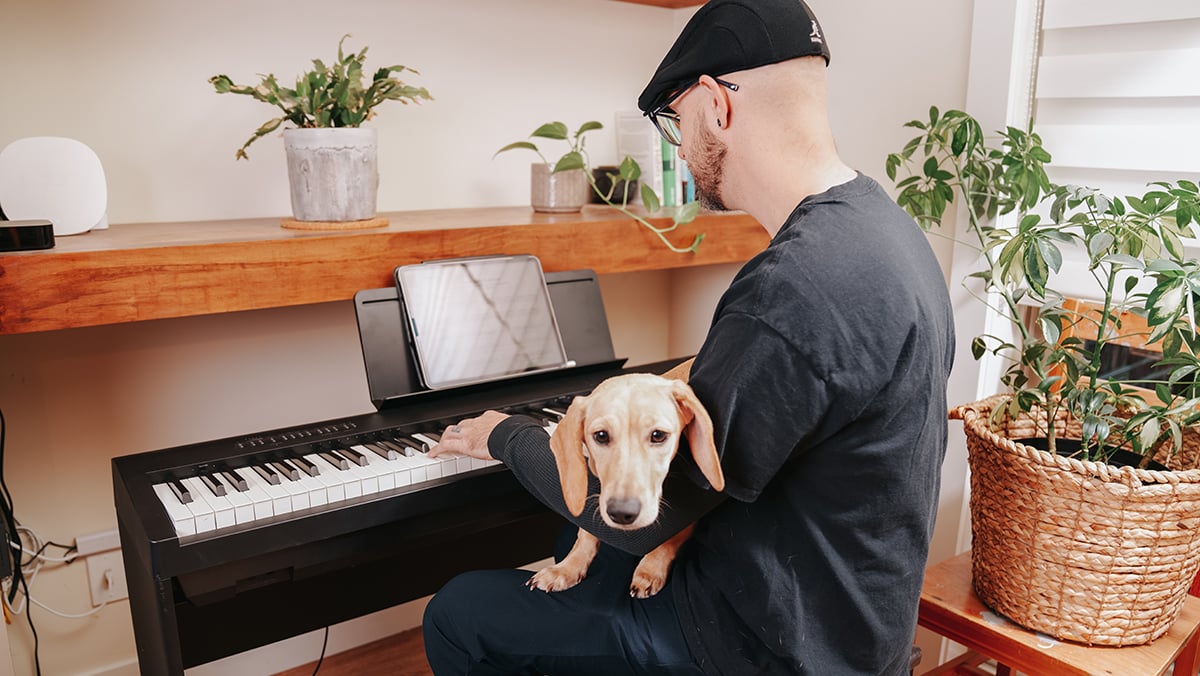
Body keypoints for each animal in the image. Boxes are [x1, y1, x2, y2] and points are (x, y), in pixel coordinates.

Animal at [532, 367, 720, 600]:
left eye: (658, 435)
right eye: (601, 435)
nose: (622, 514)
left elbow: (668, 539)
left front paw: (649, 570)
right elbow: (585, 533)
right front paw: (568, 568)